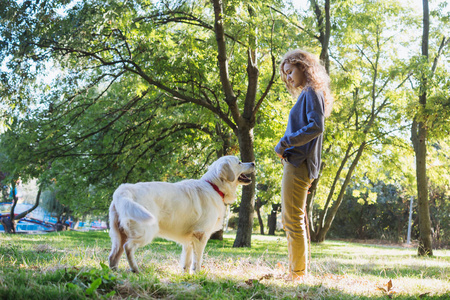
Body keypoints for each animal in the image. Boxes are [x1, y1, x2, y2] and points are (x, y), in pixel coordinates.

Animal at [107, 156, 255, 274]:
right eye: (239, 162)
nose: (253, 163)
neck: (214, 187)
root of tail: (123, 189)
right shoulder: (200, 235)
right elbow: (197, 260)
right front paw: (198, 275)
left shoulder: (189, 239)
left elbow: (187, 262)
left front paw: (185, 276)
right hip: (146, 230)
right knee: (128, 247)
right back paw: (135, 269)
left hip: (119, 235)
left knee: (113, 256)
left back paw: (115, 273)